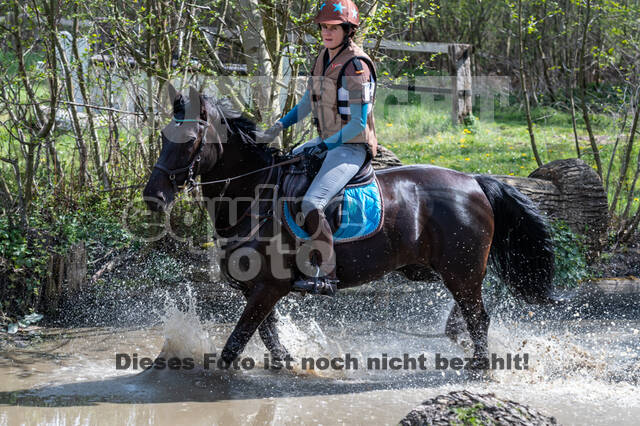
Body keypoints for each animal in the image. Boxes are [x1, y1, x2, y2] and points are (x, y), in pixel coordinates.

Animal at [142, 85, 552, 368]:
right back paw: (459, 339)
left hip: (459, 268)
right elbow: (270, 339)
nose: (153, 196)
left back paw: (479, 364)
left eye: (190, 141)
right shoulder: (253, 289)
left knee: (478, 316)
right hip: (435, 269)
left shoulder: (269, 287)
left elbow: (234, 345)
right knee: (471, 311)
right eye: (162, 136)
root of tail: (474, 181)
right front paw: (287, 364)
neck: (254, 193)